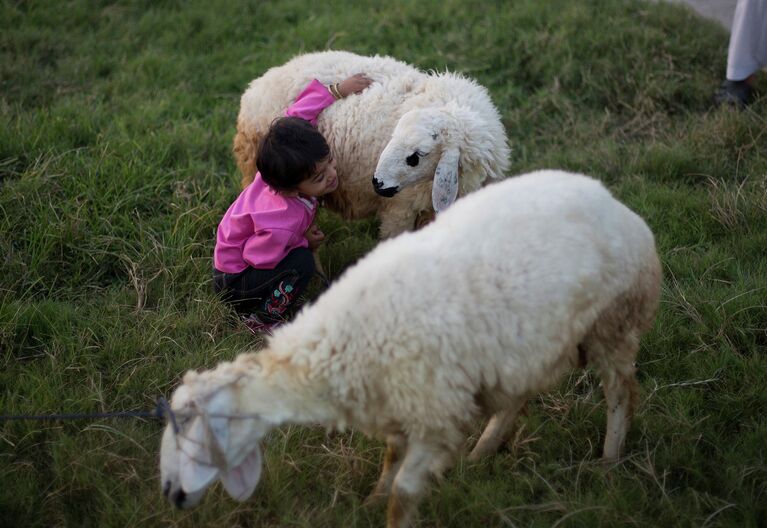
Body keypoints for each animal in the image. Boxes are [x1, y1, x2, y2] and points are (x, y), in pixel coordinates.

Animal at [160, 171, 660, 524]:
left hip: (613, 322)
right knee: (517, 400)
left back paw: (609, 462)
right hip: (526, 346)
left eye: (195, 433)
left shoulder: (433, 414)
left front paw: (388, 508)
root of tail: (617, 205)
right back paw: (481, 453)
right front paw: (370, 499)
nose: (172, 496)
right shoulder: (399, 407)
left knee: (621, 393)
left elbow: (403, 496)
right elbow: (388, 464)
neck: (336, 346)